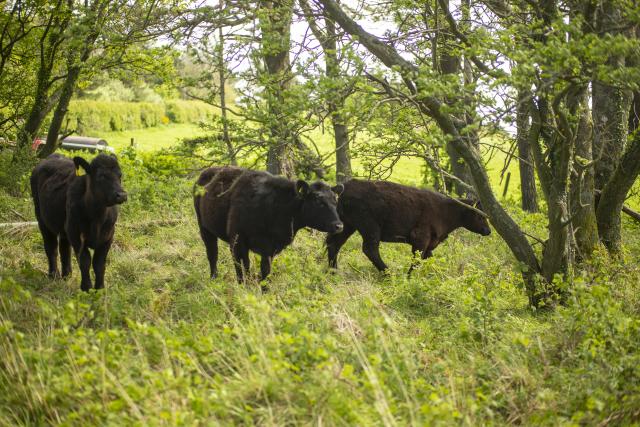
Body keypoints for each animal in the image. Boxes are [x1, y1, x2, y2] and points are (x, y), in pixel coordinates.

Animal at [30, 153, 127, 291]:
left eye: (120, 175)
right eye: (101, 176)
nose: (122, 195)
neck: (97, 218)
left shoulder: (108, 236)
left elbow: (99, 264)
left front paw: (100, 288)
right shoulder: (76, 234)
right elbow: (85, 261)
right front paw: (86, 288)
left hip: (65, 227)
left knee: (64, 247)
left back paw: (67, 274)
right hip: (42, 219)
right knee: (51, 247)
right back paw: (54, 274)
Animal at [194, 166, 344, 286]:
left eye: (335, 201)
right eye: (318, 201)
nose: (339, 226)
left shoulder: (270, 248)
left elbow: (265, 270)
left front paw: (264, 289)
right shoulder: (237, 241)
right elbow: (242, 267)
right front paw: (244, 287)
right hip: (204, 228)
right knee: (212, 254)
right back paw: (214, 278)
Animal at [326, 179, 491, 274]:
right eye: (480, 216)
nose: (488, 231)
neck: (446, 211)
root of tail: (347, 186)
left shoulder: (430, 243)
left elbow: (427, 259)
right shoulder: (420, 238)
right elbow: (416, 260)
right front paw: (410, 278)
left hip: (347, 225)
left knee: (334, 244)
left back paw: (333, 270)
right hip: (370, 227)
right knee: (369, 249)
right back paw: (388, 273)